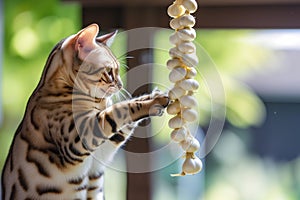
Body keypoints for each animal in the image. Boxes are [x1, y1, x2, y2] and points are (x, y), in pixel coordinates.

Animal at [0, 23, 169, 200]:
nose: (121, 85)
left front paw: (155, 95)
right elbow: (120, 109)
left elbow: (123, 116)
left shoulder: (103, 148)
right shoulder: (80, 136)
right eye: (109, 72)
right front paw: (154, 102)